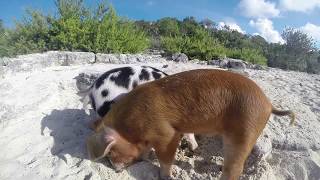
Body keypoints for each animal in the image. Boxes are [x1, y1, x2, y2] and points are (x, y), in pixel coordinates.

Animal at [85, 68, 296, 179]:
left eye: (110, 152)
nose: (115, 170)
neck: (130, 123)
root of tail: (269, 104)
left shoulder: (166, 133)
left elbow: (166, 157)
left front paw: (165, 176)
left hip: (247, 129)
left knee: (236, 167)